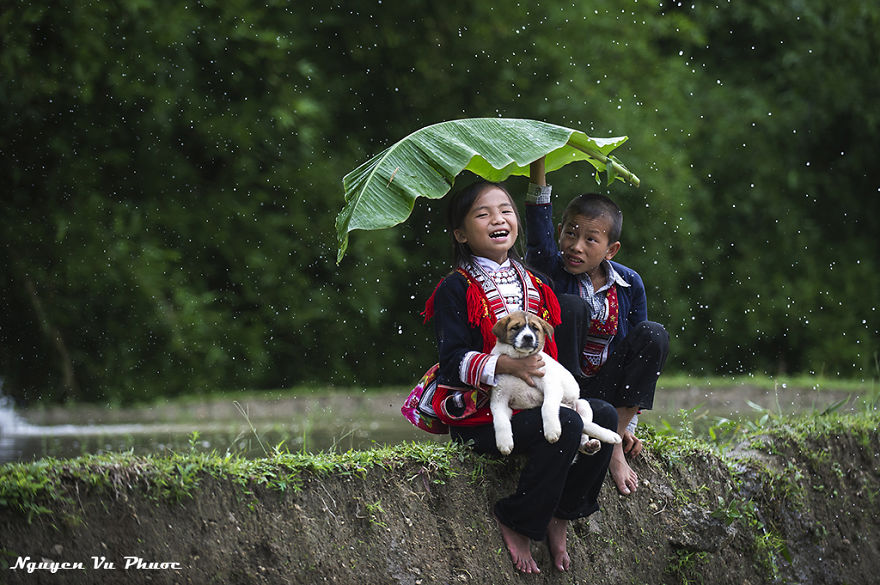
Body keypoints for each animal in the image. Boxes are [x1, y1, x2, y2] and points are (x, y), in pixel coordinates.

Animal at [484, 312, 624, 454]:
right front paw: (504, 442)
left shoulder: (551, 386)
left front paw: (551, 430)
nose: (528, 337)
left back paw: (598, 441)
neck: (520, 359)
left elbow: (547, 406)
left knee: (586, 428)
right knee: (584, 425)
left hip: (583, 404)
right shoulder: (499, 398)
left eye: (535, 328)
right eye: (515, 328)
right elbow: (500, 420)